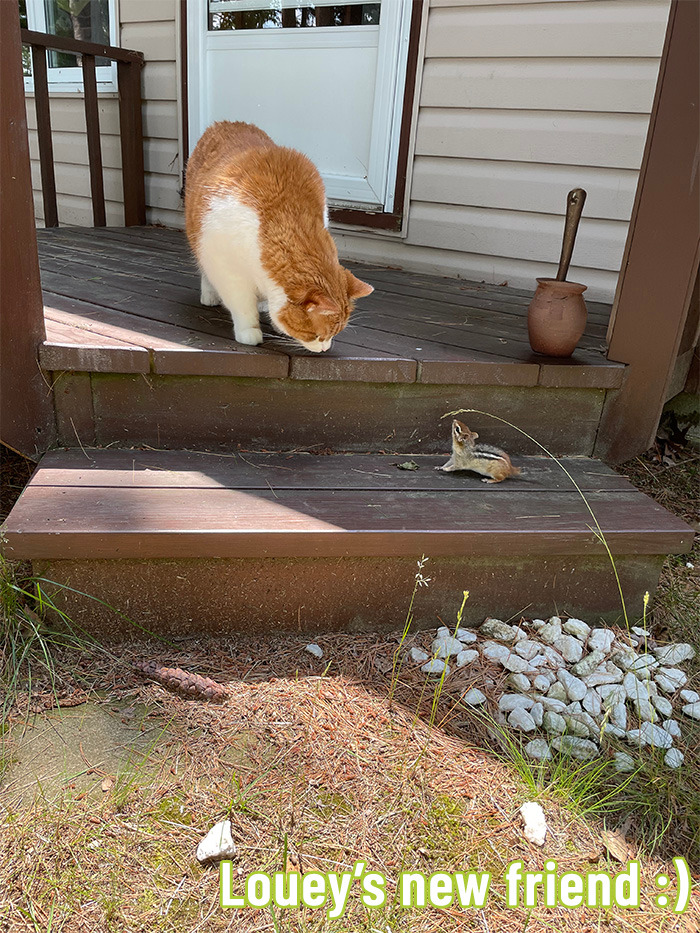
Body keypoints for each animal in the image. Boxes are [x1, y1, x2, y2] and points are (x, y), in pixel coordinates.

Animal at [185, 122, 372, 352]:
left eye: (335, 334)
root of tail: (226, 123)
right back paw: (210, 295)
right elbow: (242, 305)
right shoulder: (227, 268)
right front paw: (249, 330)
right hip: (199, 235)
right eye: (316, 335)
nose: (325, 349)